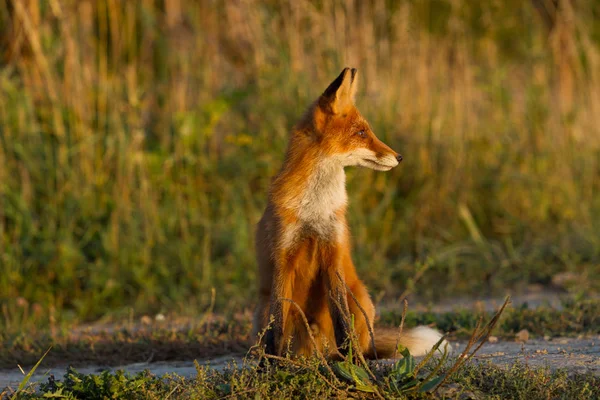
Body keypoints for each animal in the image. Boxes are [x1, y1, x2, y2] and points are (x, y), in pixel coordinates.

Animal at [253, 67, 446, 358]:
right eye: (361, 132)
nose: (399, 157)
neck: (315, 210)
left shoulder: (333, 253)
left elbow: (342, 320)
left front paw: (352, 362)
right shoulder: (283, 257)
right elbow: (276, 326)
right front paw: (272, 363)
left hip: (362, 298)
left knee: (359, 340)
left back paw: (347, 356)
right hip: (261, 306)